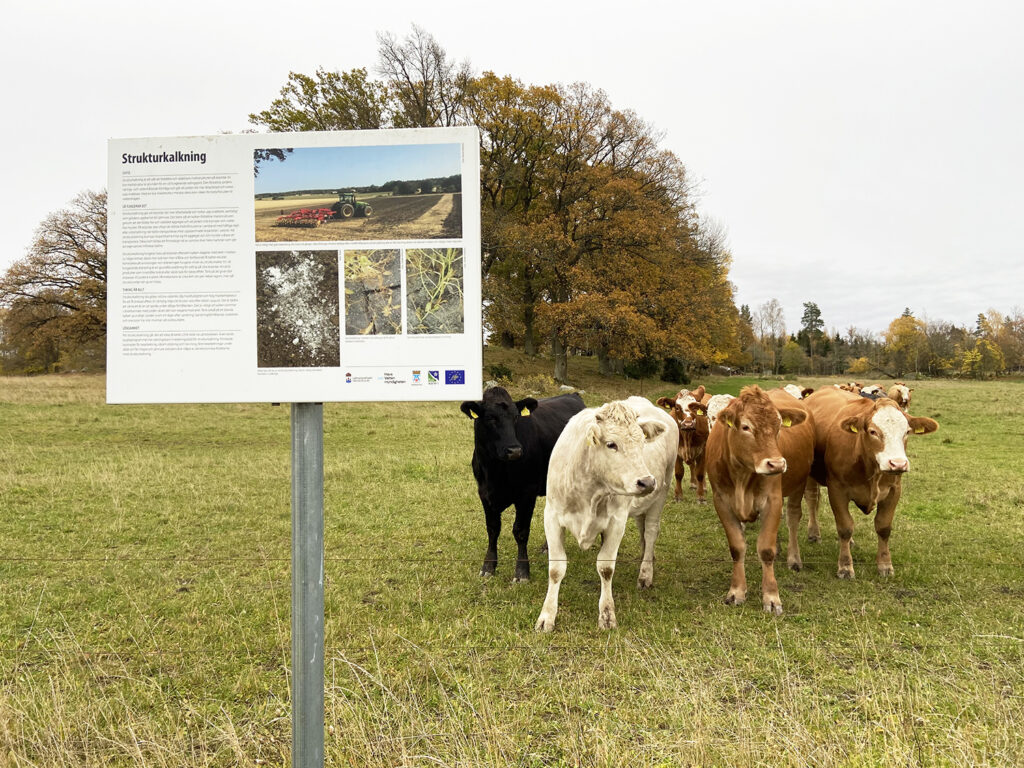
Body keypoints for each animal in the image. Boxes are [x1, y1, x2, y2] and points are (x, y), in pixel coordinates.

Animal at [462, 387, 585, 581]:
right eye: (490, 418)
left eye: (516, 417)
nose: (514, 450)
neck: (496, 472)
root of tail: (573, 395)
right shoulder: (484, 493)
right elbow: (492, 529)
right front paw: (488, 567)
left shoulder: (527, 493)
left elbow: (520, 531)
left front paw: (521, 572)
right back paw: (548, 546)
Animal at [536, 397, 679, 630]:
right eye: (611, 444)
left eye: (642, 443)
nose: (647, 482)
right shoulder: (552, 517)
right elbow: (556, 569)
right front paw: (547, 616)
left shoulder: (617, 522)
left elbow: (605, 568)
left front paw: (607, 614)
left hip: (661, 493)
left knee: (650, 532)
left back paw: (645, 573)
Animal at [708, 387, 811, 618]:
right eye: (746, 427)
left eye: (779, 426)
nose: (777, 464)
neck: (741, 474)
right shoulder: (721, 502)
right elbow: (737, 547)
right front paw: (737, 591)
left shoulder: (773, 500)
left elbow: (766, 549)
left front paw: (771, 597)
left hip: (799, 485)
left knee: (793, 518)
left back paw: (794, 558)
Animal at [798, 387, 937, 581]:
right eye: (873, 432)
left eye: (907, 432)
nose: (898, 464)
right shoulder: (837, 489)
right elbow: (845, 527)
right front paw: (845, 567)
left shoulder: (894, 490)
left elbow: (883, 527)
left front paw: (885, 565)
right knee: (812, 499)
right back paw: (814, 533)